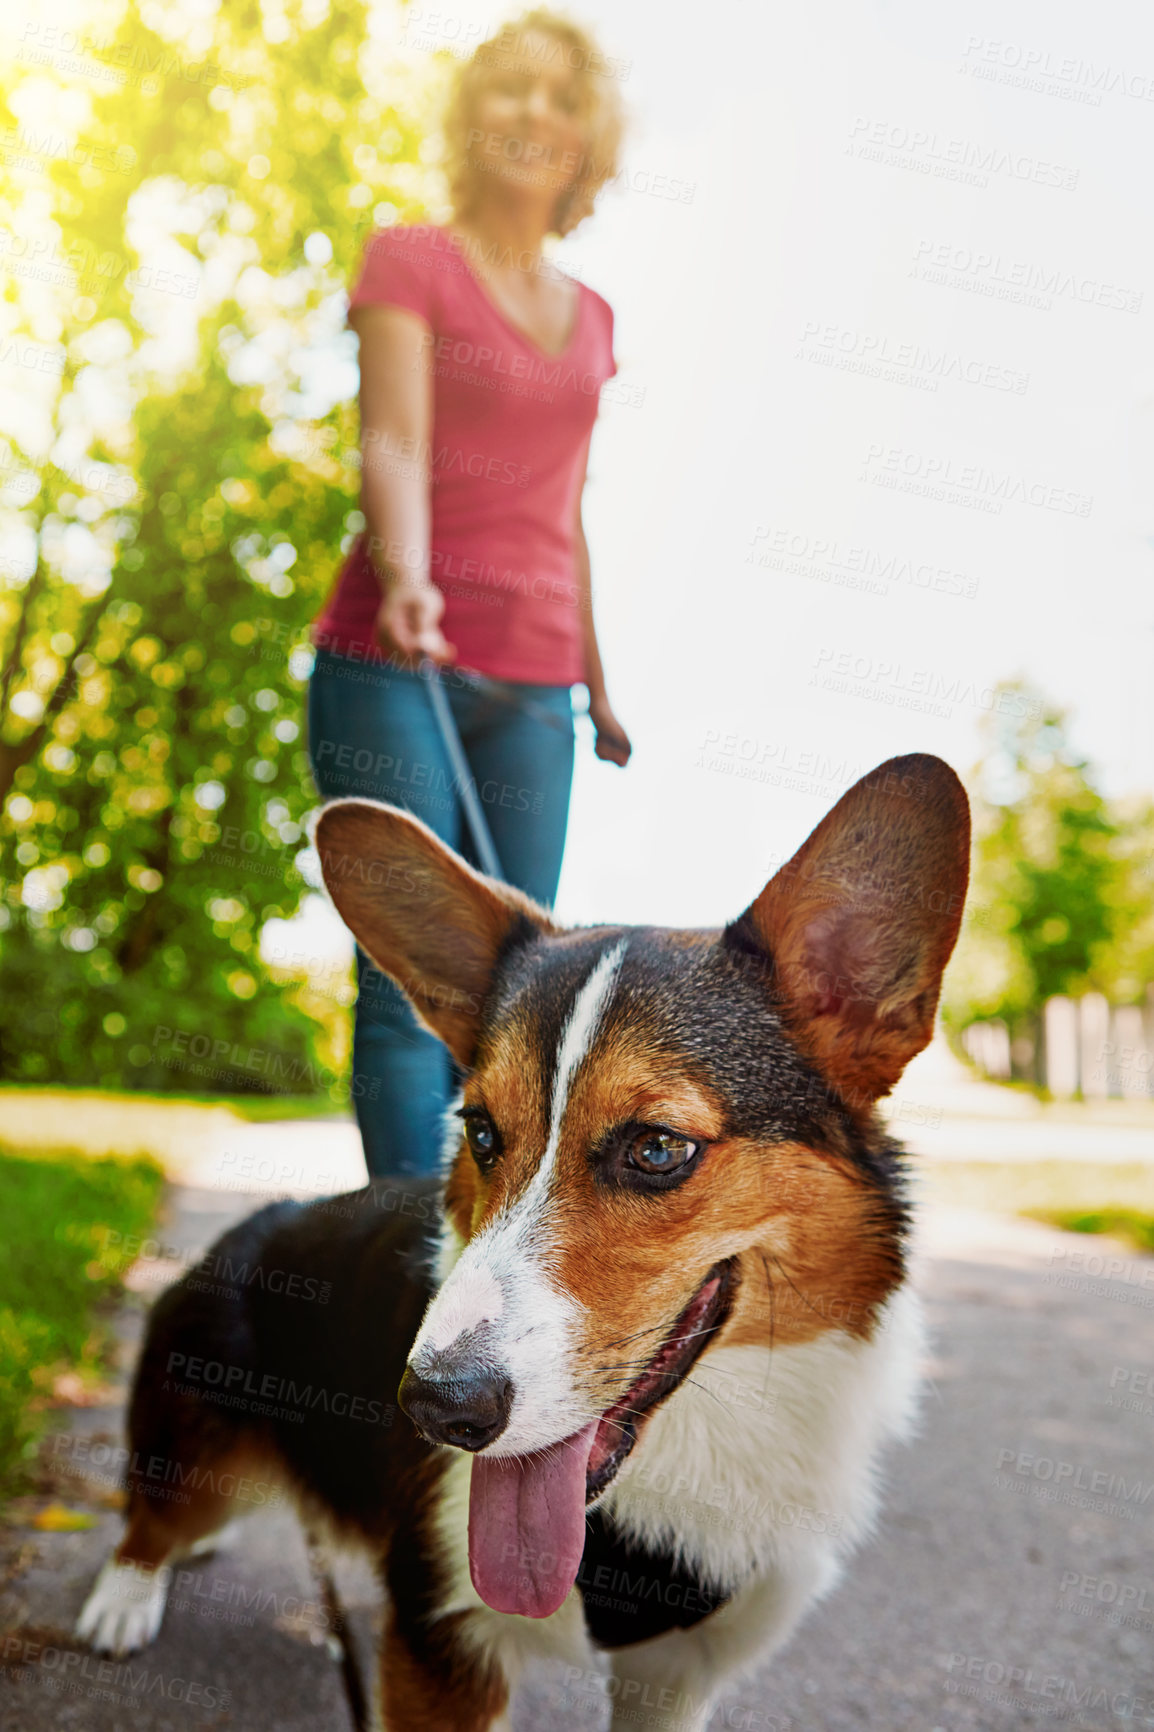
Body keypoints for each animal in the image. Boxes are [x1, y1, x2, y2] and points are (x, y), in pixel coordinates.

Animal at [76, 758, 963, 1732]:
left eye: (658, 1149)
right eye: (480, 1132)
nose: (436, 1410)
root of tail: (250, 1224)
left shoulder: (678, 1675)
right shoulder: (442, 1644)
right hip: (190, 1435)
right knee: (154, 1515)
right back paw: (123, 1599)